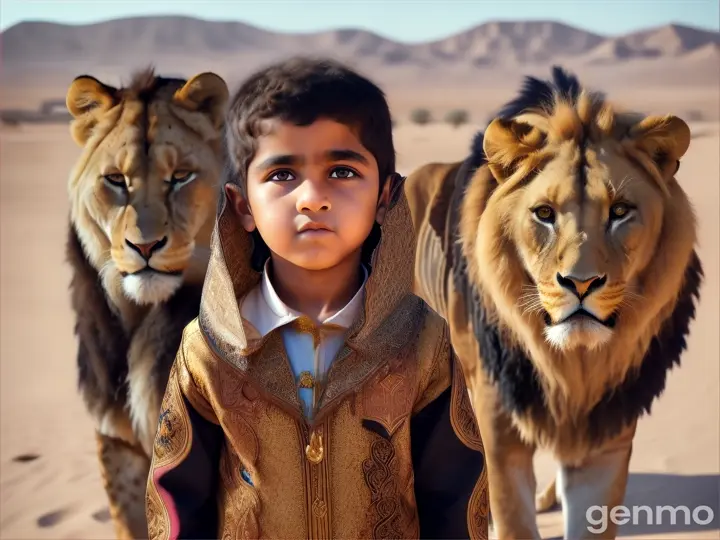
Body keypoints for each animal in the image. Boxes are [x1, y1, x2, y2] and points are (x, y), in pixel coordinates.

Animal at [404, 67, 704, 540]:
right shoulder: (497, 420)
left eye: (620, 211)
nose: (581, 284)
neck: (572, 363)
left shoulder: (609, 428)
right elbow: (511, 516)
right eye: (543, 213)